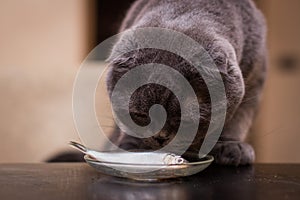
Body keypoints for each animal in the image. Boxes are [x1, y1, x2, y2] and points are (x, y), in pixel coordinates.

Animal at [106, 0, 268, 166]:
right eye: (140, 115)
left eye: (184, 121)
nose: (160, 137)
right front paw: (131, 147)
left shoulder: (255, 78)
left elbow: (238, 118)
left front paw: (231, 146)